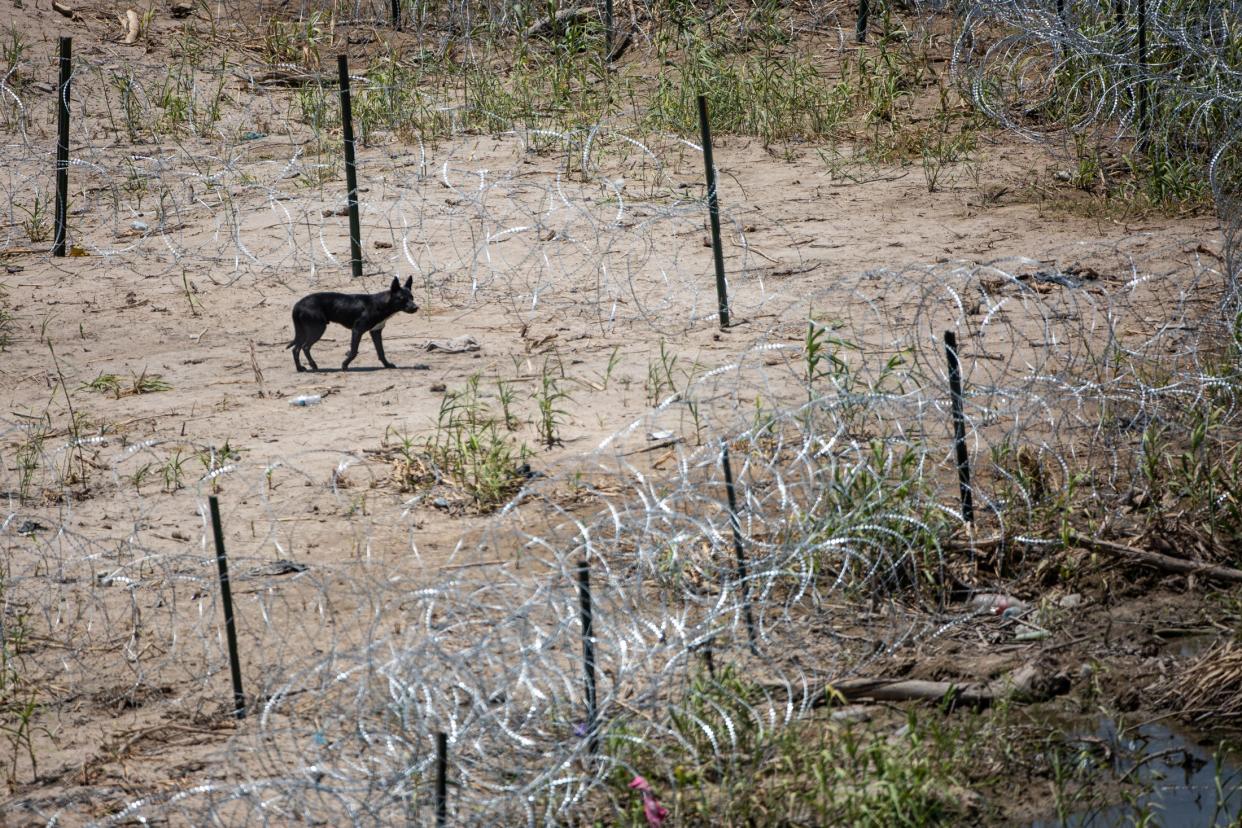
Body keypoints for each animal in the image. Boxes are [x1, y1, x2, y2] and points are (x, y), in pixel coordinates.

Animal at [286, 275, 419, 372]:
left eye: (412, 297)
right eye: (401, 298)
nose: (416, 307)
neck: (381, 304)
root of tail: (298, 305)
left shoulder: (375, 332)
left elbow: (381, 351)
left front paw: (387, 364)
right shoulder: (357, 330)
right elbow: (354, 351)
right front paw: (344, 365)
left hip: (304, 331)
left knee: (295, 349)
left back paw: (300, 368)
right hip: (318, 329)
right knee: (305, 347)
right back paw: (313, 365)